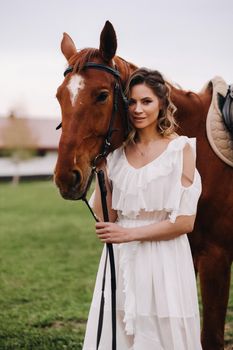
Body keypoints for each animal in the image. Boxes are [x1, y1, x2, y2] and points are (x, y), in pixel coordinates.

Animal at [53, 21, 232, 350]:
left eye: (101, 95)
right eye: (59, 96)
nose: (65, 177)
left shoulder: (217, 257)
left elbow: (210, 337)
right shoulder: (189, 251)